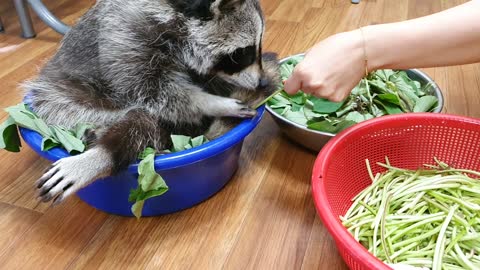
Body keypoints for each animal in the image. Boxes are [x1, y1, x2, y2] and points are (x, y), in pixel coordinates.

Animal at [24, 0, 282, 204]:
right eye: (243, 53)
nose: (261, 82)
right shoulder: (125, 35)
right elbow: (151, 91)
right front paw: (212, 102)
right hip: (62, 103)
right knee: (141, 120)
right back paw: (102, 154)